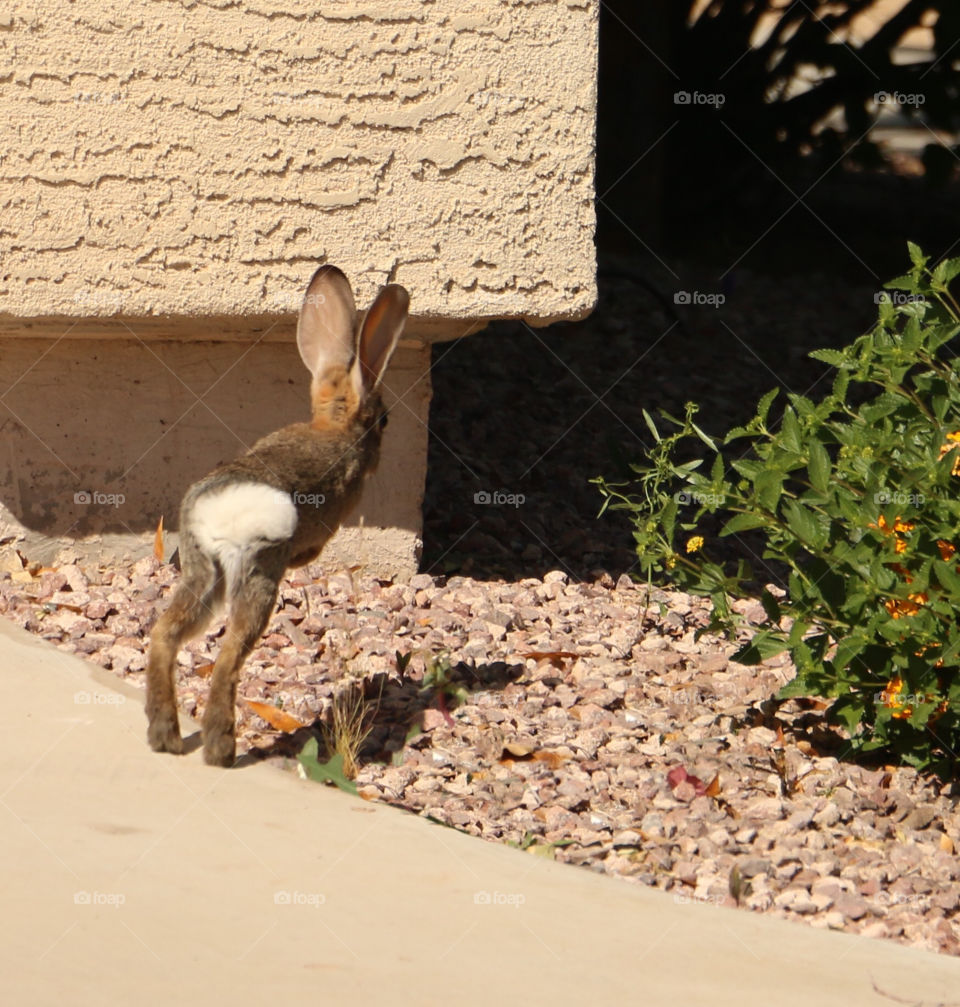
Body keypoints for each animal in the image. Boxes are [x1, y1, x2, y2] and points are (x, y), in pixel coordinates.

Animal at [145, 263, 408, 765]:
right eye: (384, 420)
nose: (385, 443)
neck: (336, 429)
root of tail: (221, 509)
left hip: (200, 570)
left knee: (165, 633)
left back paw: (164, 736)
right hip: (259, 572)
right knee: (229, 653)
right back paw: (221, 749)